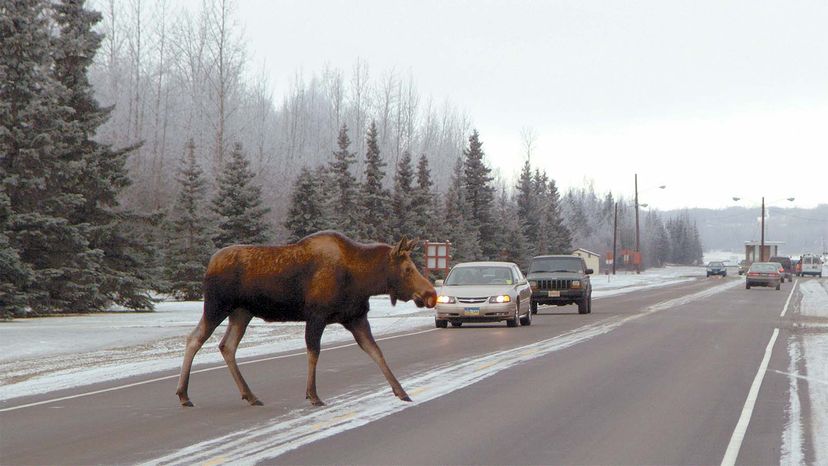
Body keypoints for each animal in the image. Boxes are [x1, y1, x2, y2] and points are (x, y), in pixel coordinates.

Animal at [175, 231, 440, 406]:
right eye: (408, 269)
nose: (431, 295)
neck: (362, 280)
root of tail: (209, 264)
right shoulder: (316, 316)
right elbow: (314, 352)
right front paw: (313, 395)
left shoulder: (355, 318)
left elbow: (376, 352)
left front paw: (401, 391)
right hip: (217, 306)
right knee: (194, 338)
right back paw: (184, 394)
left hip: (242, 313)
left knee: (227, 346)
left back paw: (250, 395)